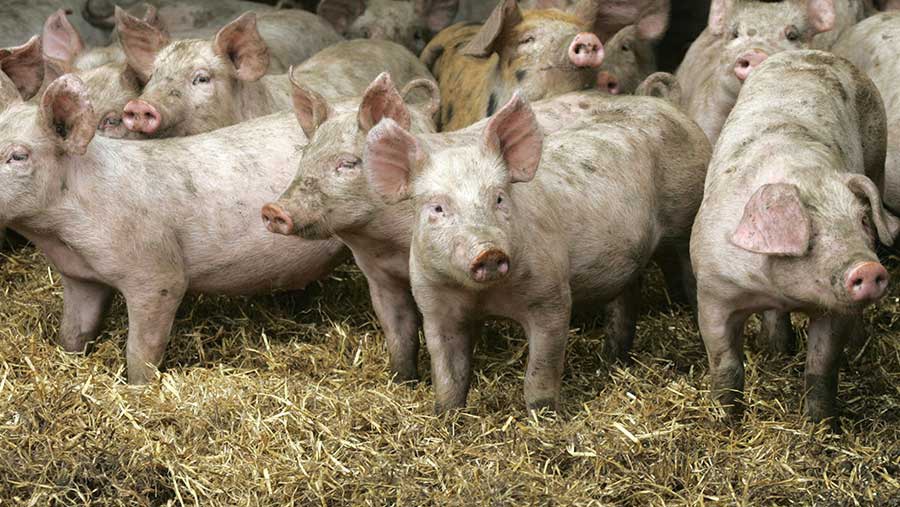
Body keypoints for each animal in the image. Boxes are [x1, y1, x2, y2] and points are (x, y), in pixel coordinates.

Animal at [0, 73, 348, 384]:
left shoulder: (157, 274)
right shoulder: (80, 278)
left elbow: (140, 351)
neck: (61, 235)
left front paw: (138, 388)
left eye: (17, 156)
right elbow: (72, 334)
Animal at [266, 87, 710, 408]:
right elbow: (400, 333)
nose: (273, 210)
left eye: (348, 163)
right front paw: (404, 382)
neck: (382, 242)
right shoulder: (384, 279)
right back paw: (612, 359)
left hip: (684, 218)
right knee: (626, 294)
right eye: (304, 157)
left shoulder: (548, 295)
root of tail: (668, 105)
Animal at [691, 50, 898, 423]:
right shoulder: (713, 291)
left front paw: (821, 426)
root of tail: (814, 52)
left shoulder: (833, 311)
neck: (778, 288)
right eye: (810, 229)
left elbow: (821, 368)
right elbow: (725, 365)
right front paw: (727, 420)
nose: (867, 268)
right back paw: (776, 350)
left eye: (862, 220)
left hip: (877, 152)